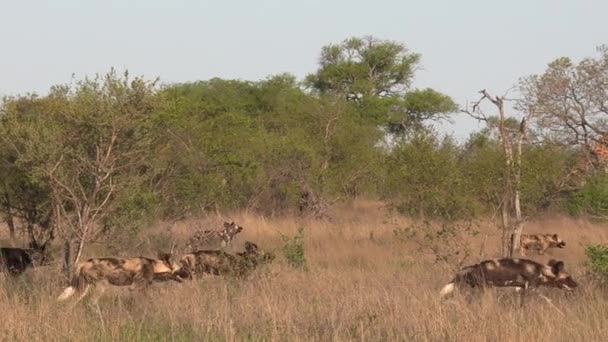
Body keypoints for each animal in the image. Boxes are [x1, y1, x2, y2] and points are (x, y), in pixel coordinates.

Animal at [440, 258, 576, 304]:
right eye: (568, 278)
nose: (577, 284)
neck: (541, 270)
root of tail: (474, 266)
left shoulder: (520, 289)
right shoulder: (531, 289)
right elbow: (547, 300)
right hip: (484, 288)